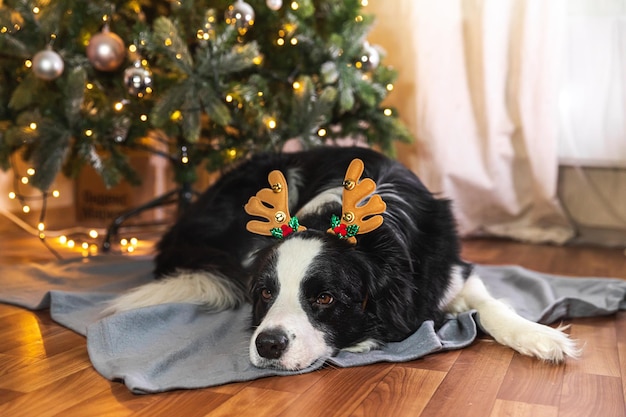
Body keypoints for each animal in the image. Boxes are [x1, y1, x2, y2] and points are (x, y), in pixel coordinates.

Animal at [106, 148, 576, 368]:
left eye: (325, 298)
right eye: (265, 293)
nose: (267, 344)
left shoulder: (451, 270)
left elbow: (491, 306)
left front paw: (540, 337)